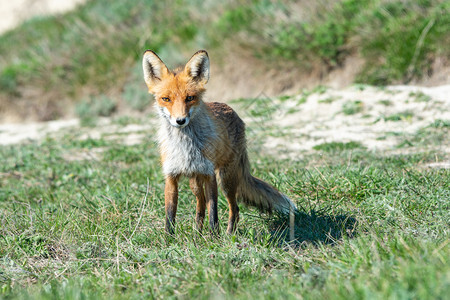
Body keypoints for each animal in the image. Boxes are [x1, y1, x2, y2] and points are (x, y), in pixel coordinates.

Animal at [142, 49, 296, 237]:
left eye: (190, 98)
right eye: (166, 99)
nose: (180, 120)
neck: (185, 146)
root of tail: (232, 111)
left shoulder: (209, 175)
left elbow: (213, 212)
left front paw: (214, 238)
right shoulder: (171, 177)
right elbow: (170, 215)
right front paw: (168, 240)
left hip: (226, 180)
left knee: (234, 209)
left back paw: (228, 235)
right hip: (195, 181)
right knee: (200, 204)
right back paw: (197, 233)